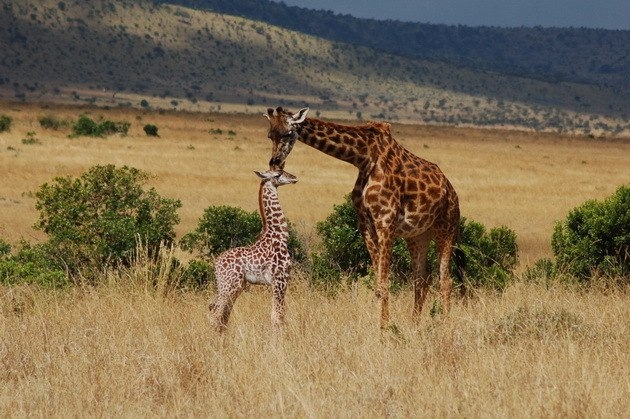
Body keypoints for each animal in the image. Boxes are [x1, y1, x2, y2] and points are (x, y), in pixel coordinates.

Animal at [210, 170, 298, 332]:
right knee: (216, 313)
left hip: (230, 285)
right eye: (277, 174)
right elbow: (278, 315)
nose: (293, 178)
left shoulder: (276, 282)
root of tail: (216, 265)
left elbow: (276, 314)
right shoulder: (280, 279)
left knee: (222, 314)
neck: (280, 236)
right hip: (230, 285)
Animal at [266, 106, 464, 328]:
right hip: (418, 236)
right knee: (421, 278)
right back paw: (414, 324)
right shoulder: (365, 224)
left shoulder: (385, 222)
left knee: (445, 279)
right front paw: (383, 325)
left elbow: (384, 283)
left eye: (288, 133)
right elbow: (378, 285)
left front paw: (384, 328)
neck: (364, 159)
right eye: (270, 135)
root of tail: (451, 190)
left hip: (446, 227)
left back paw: (446, 325)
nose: (275, 164)